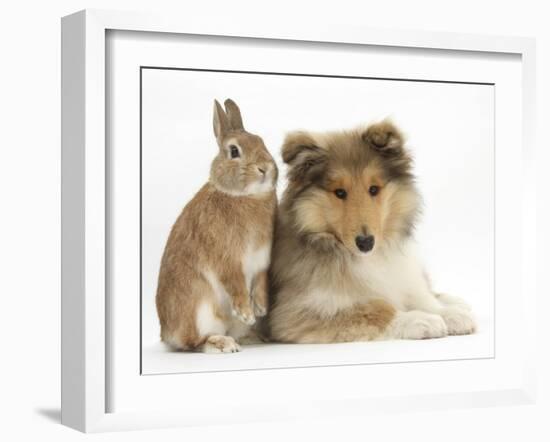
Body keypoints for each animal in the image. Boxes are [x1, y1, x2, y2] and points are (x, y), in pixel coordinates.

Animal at [156, 98, 280, 354]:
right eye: (234, 151)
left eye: (261, 141)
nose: (265, 168)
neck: (245, 196)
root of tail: (167, 334)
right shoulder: (227, 259)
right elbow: (235, 283)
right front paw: (246, 312)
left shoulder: (262, 261)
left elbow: (260, 281)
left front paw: (261, 308)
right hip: (199, 311)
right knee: (193, 343)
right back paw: (224, 343)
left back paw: (253, 337)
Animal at [268, 119, 478, 344]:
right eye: (339, 193)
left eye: (374, 189)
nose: (366, 242)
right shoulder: (297, 312)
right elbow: (376, 309)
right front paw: (420, 320)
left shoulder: (401, 276)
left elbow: (420, 297)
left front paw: (448, 314)